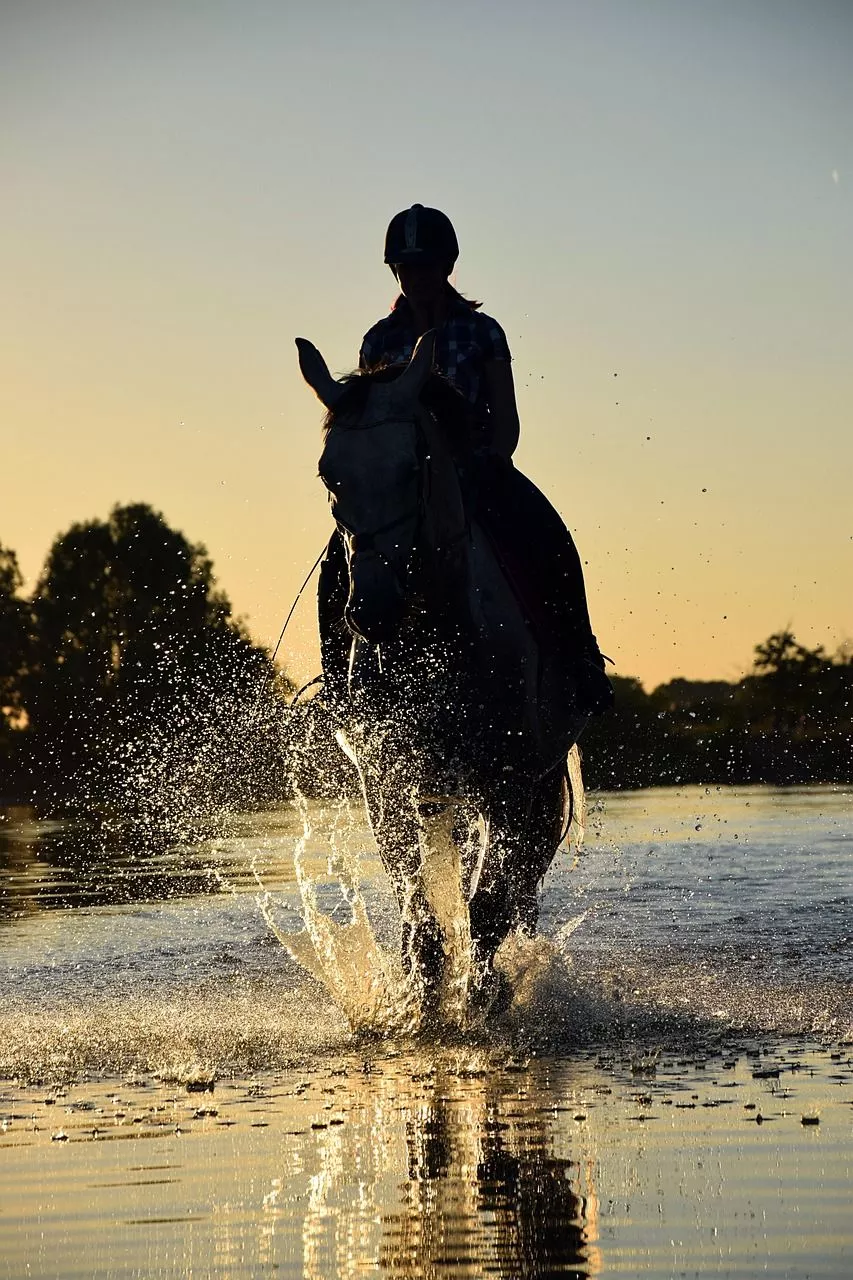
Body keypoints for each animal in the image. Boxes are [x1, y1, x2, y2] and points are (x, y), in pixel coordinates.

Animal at [297, 332, 588, 1019]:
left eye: (413, 465)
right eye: (328, 473)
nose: (370, 610)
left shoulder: (511, 780)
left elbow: (488, 908)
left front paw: (480, 999)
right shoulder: (387, 781)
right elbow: (420, 911)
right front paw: (420, 1000)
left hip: (529, 781)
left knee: (518, 879)